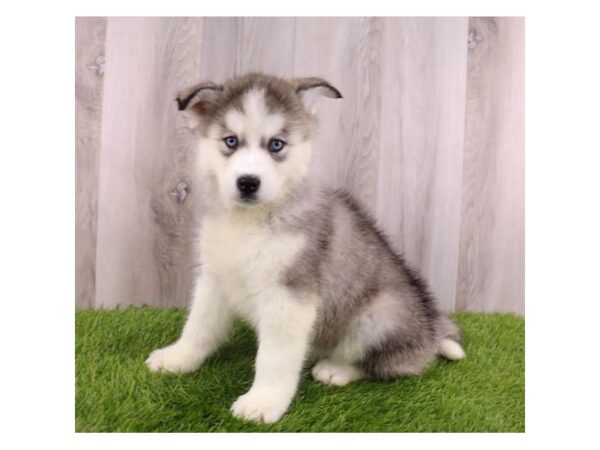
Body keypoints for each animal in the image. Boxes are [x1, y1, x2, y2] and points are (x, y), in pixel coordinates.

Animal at [145, 73, 464, 422]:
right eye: (230, 141)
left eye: (276, 145)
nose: (248, 182)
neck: (248, 223)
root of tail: (431, 331)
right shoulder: (215, 277)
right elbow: (198, 326)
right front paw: (178, 358)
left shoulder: (289, 295)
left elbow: (274, 357)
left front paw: (263, 401)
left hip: (379, 315)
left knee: (392, 365)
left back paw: (337, 369)